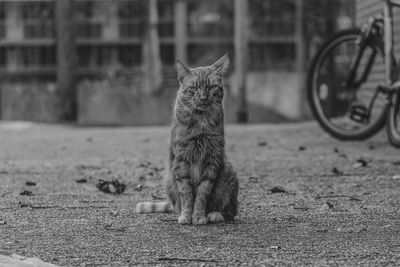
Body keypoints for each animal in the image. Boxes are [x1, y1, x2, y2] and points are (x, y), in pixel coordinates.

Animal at [136, 55, 239, 226]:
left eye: (211, 87)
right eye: (194, 88)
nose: (203, 97)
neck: (201, 122)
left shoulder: (212, 160)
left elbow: (203, 193)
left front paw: (198, 216)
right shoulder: (181, 161)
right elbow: (186, 194)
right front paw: (186, 215)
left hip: (227, 173)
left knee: (230, 211)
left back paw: (214, 214)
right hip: (168, 179)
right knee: (177, 205)